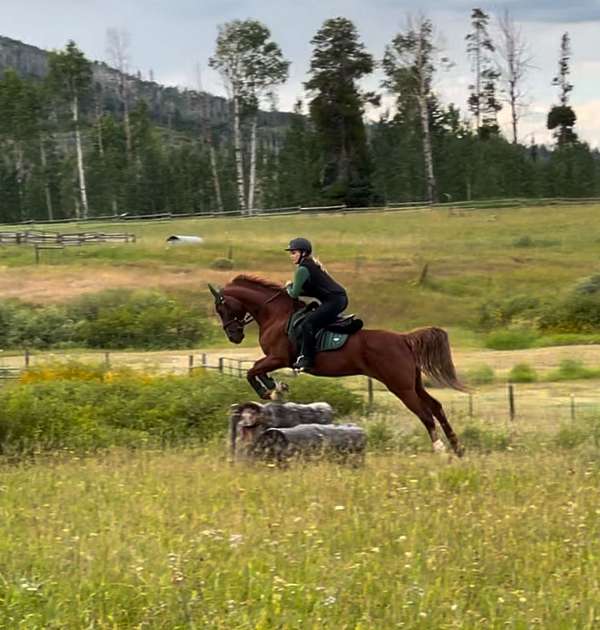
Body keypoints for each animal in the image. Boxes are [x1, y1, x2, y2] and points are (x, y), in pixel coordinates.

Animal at [209, 274, 466, 456]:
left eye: (222, 308)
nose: (234, 336)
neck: (275, 314)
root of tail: (403, 339)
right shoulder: (274, 360)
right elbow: (258, 371)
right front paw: (276, 388)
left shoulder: (278, 357)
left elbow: (252, 371)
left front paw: (268, 392)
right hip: (413, 383)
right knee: (436, 407)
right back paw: (457, 448)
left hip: (400, 386)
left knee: (425, 413)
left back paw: (440, 448)